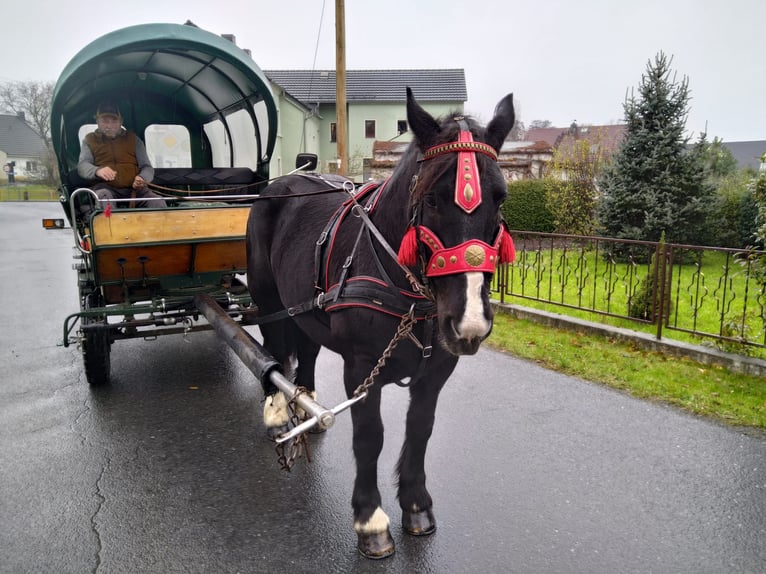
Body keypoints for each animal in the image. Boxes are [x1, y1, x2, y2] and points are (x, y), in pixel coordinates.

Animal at [248, 89, 516, 560]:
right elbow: (370, 436)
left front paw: (416, 505)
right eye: (432, 199)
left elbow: (420, 429)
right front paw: (370, 519)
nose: (470, 323)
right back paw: (279, 410)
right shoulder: (361, 367)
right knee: (275, 350)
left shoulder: (436, 370)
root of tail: (280, 184)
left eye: (499, 197)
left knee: (308, 350)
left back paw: (307, 403)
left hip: (305, 306)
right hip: (268, 298)